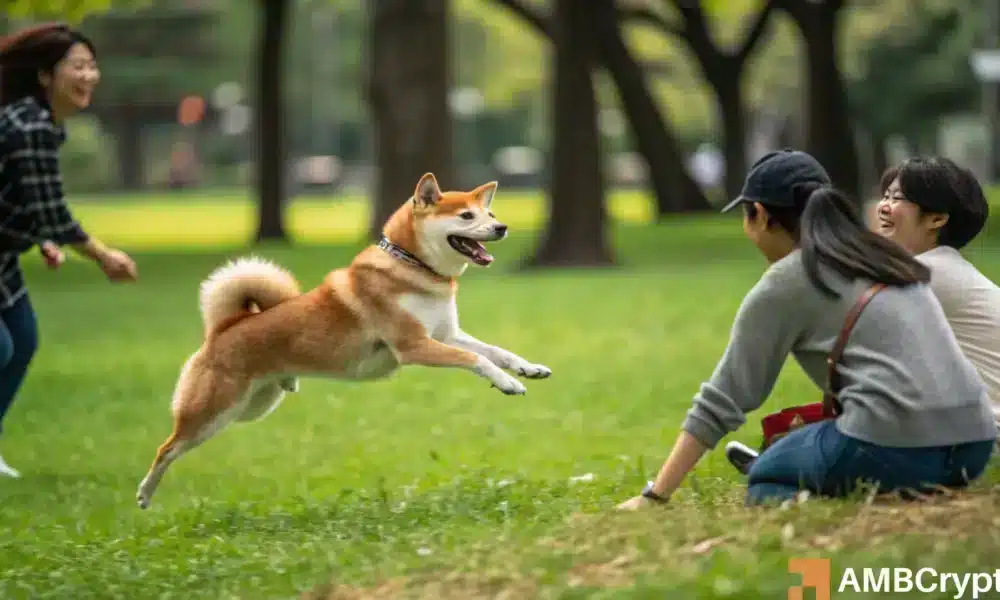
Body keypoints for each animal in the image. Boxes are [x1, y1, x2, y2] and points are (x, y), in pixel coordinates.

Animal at [136, 172, 552, 506]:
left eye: (490, 215)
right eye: (467, 217)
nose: (502, 228)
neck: (412, 267)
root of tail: (223, 328)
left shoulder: (447, 335)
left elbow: (495, 351)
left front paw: (526, 369)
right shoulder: (414, 346)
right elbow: (477, 360)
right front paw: (508, 383)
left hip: (252, 407)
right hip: (214, 410)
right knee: (166, 448)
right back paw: (144, 493)